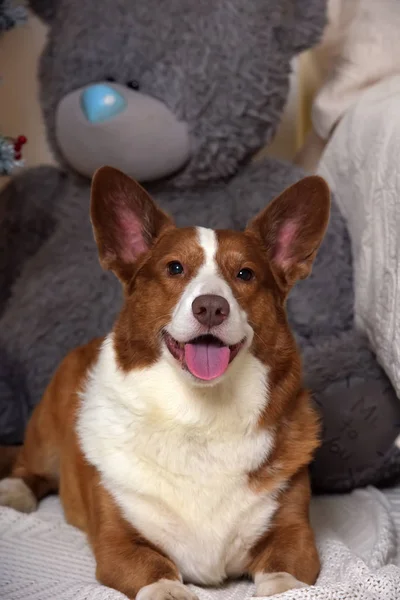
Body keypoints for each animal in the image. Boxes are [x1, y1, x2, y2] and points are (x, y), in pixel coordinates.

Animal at [0, 166, 330, 600]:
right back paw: (14, 492)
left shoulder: (294, 532)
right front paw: (169, 589)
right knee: (28, 467)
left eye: (245, 274)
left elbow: (284, 575)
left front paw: (282, 587)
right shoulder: (118, 542)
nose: (211, 307)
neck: (200, 414)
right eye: (175, 268)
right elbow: (153, 567)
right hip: (44, 433)